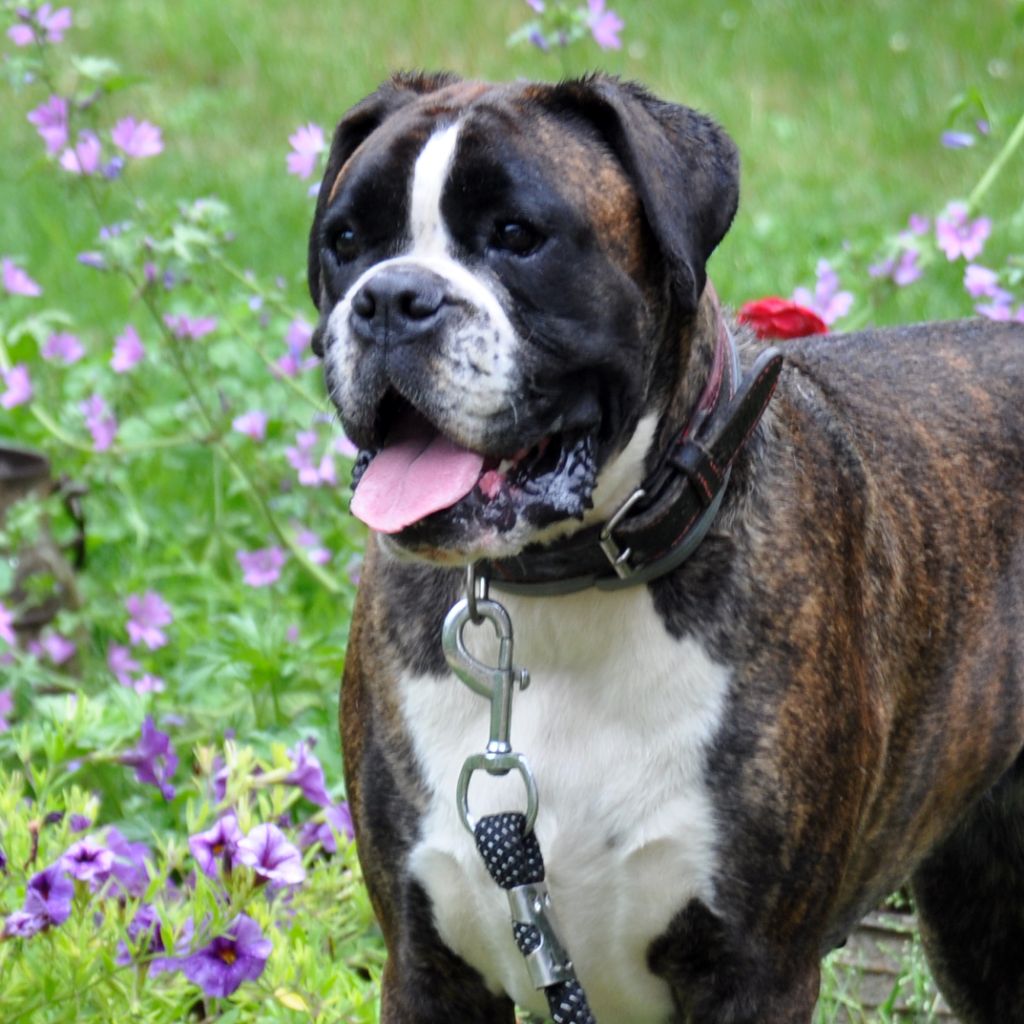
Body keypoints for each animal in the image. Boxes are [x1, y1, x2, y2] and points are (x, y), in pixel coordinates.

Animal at [307, 68, 1024, 1019]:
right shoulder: (429, 970)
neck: (563, 587)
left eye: (517, 236)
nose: (391, 298)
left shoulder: (755, 973)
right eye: (346, 241)